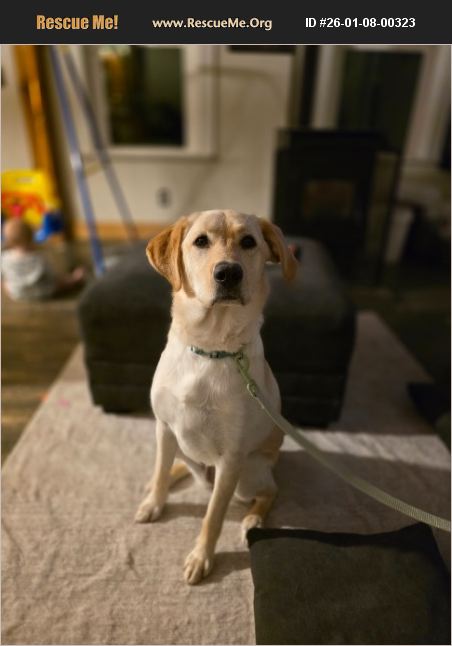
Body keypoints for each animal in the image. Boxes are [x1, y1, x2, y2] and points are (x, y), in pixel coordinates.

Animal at [135, 209, 298, 584]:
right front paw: (155, 501)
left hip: (248, 475)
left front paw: (201, 557)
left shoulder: (231, 460)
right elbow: (161, 470)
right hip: (183, 446)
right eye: (200, 241)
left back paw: (253, 518)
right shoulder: (164, 427)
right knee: (177, 465)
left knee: (271, 491)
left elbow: (213, 517)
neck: (209, 349)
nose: (228, 273)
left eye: (249, 242)